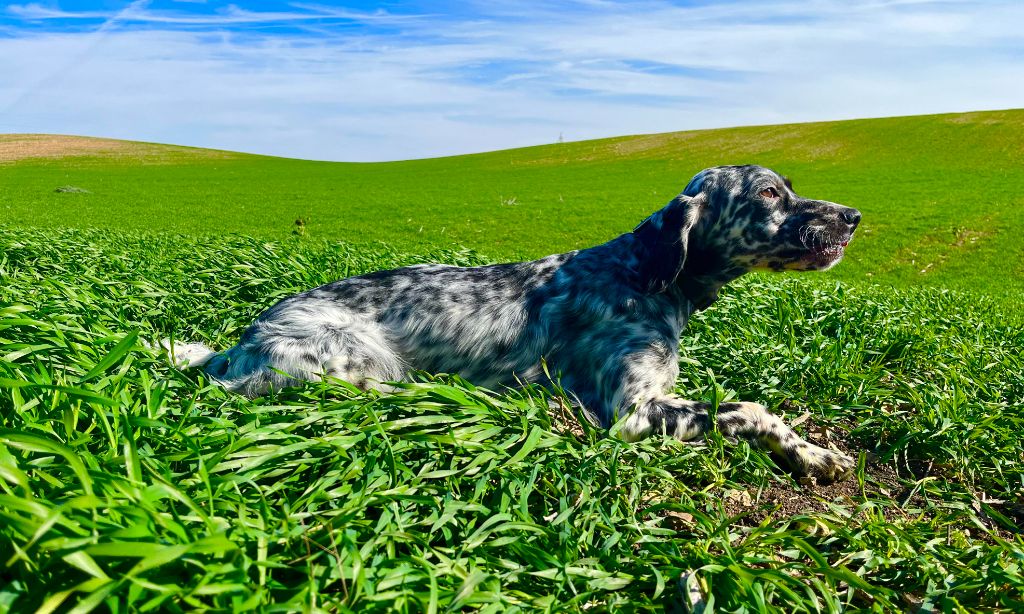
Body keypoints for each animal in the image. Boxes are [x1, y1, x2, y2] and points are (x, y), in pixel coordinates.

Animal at [169, 165, 864, 483]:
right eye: (769, 194)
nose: (854, 215)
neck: (641, 274)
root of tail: (238, 345)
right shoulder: (631, 413)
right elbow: (750, 408)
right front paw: (814, 452)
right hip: (359, 367)